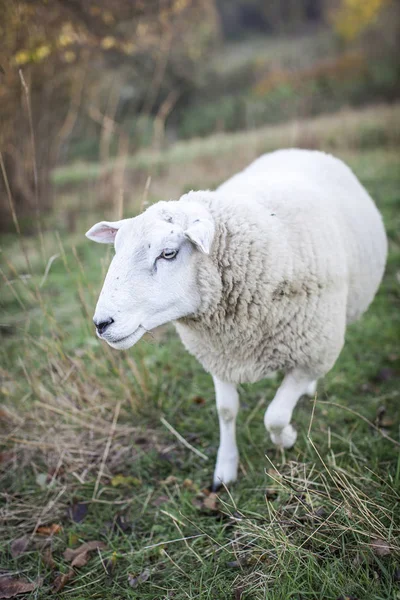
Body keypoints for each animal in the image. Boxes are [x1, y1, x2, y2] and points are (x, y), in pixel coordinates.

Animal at [86, 149, 388, 488]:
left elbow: (275, 416)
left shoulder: (312, 351)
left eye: (168, 253)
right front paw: (225, 469)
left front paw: (287, 439)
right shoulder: (220, 355)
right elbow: (226, 410)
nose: (102, 324)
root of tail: (299, 150)